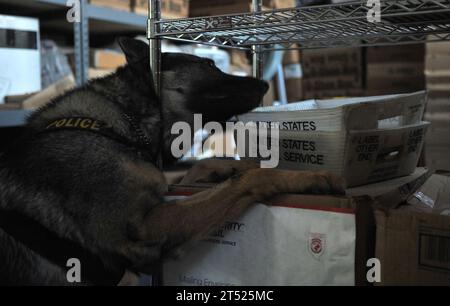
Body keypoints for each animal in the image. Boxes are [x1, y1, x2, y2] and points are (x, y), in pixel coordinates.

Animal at [0, 37, 344, 284]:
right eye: (210, 65)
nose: (265, 84)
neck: (121, 125)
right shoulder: (147, 229)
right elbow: (243, 182)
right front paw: (303, 177)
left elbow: (205, 167)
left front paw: (246, 163)